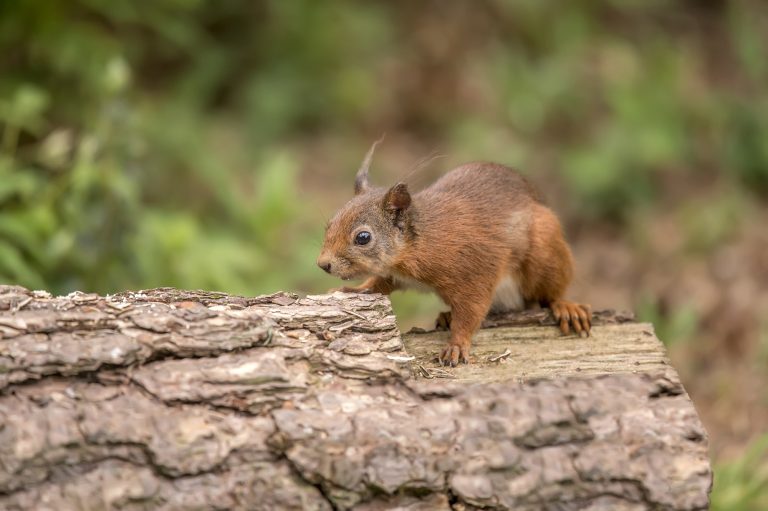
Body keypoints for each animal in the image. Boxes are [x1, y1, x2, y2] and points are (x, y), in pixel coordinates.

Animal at [316, 142, 592, 366]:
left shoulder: (475, 269)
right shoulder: (394, 274)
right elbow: (378, 284)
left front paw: (457, 345)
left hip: (545, 252)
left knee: (549, 293)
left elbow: (471, 312)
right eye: (330, 223)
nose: (323, 264)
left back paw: (565, 306)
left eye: (363, 237)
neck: (419, 244)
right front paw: (353, 289)